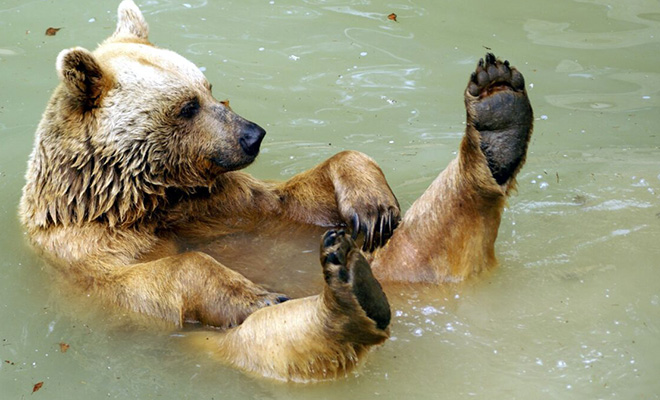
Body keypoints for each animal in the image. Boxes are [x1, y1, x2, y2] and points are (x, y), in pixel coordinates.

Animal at [19, 0, 532, 384]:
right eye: (186, 106)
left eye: (209, 87)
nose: (252, 135)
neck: (146, 199)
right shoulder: (87, 254)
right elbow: (158, 276)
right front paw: (257, 295)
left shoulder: (226, 205)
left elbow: (294, 198)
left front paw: (373, 206)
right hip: (222, 346)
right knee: (272, 343)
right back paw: (350, 294)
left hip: (400, 257)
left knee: (431, 234)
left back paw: (497, 112)